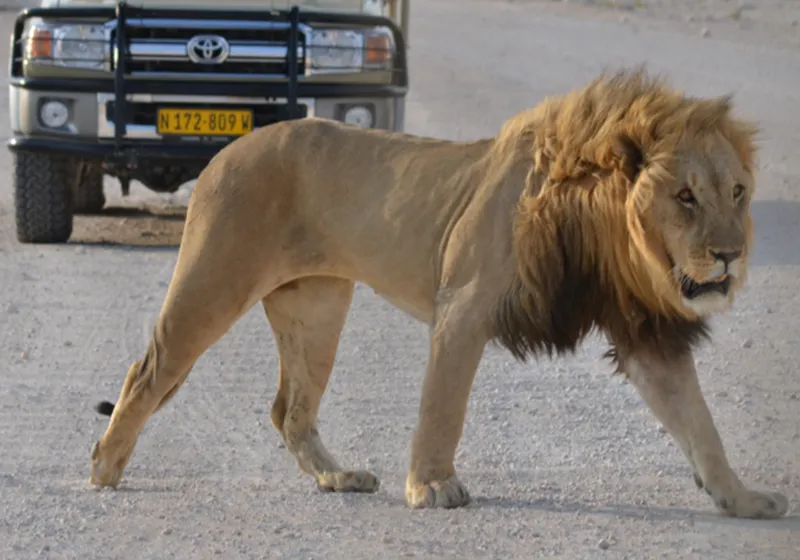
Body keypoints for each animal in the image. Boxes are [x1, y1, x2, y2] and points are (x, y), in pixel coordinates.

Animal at [89, 68, 789, 519]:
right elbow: (443, 408)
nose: (731, 255)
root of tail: (229, 147)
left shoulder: (645, 333)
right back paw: (104, 468)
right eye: (685, 196)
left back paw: (337, 477)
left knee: (289, 409)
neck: (606, 234)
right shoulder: (464, 306)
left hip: (317, 307)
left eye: (737, 194)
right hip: (214, 282)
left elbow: (701, 424)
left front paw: (742, 499)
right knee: (146, 372)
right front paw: (430, 488)